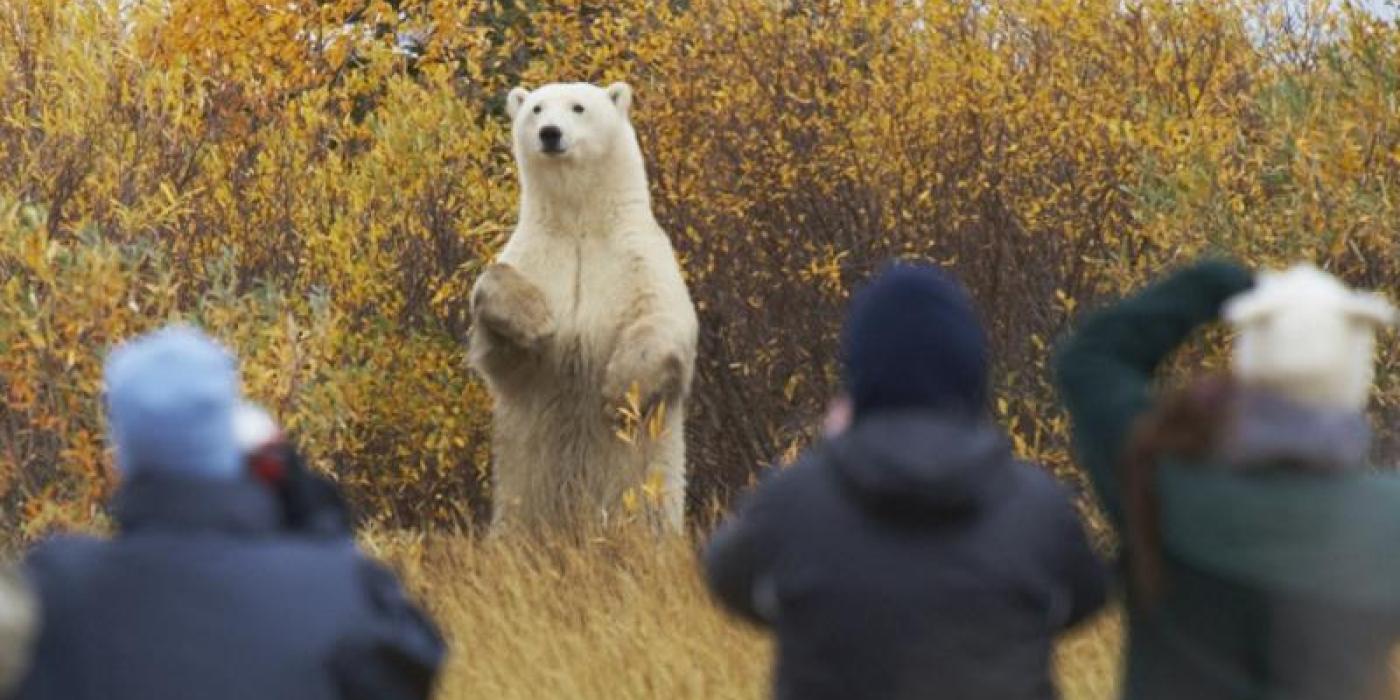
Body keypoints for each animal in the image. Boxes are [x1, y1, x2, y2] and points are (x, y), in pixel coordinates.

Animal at [469, 81, 699, 534]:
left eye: (578, 107)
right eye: (536, 109)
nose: (550, 133)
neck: (580, 223)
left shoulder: (636, 256)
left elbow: (661, 320)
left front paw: (616, 394)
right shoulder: (537, 255)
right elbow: (496, 318)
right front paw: (536, 320)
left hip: (646, 501)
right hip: (518, 506)